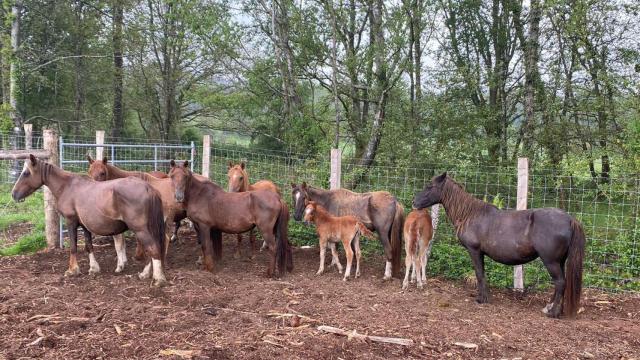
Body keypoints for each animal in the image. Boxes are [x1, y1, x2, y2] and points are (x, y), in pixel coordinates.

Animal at [11, 156, 168, 286]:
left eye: (26, 173)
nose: (13, 194)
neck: (67, 186)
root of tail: (148, 188)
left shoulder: (71, 222)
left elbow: (73, 247)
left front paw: (72, 270)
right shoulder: (84, 226)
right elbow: (88, 246)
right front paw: (93, 268)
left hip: (141, 230)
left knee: (153, 248)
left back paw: (158, 279)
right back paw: (146, 274)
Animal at [412, 174, 588, 318]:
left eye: (430, 186)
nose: (414, 202)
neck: (470, 214)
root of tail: (570, 219)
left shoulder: (474, 251)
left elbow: (479, 273)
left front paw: (482, 299)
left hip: (550, 261)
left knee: (560, 282)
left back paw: (553, 312)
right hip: (560, 261)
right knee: (560, 283)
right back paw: (550, 307)